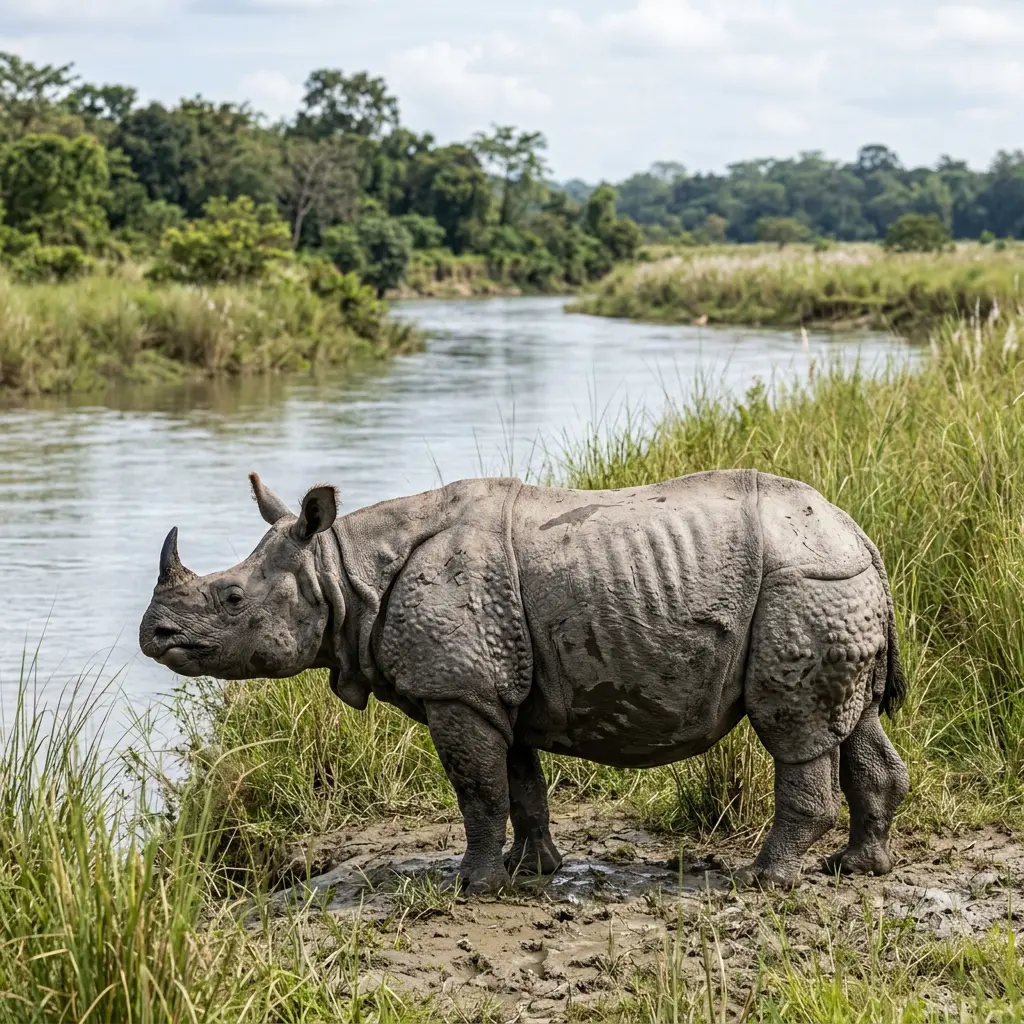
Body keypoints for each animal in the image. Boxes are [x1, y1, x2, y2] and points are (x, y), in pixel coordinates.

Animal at [140, 470, 909, 892]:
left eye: (231, 599)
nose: (153, 635)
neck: (339, 571)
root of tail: (860, 534)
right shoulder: (488, 686)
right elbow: (518, 780)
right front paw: (531, 868)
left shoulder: (458, 690)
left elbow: (477, 790)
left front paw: (471, 884)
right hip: (834, 583)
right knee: (855, 723)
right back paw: (855, 867)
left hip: (803, 583)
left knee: (797, 732)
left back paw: (767, 879)